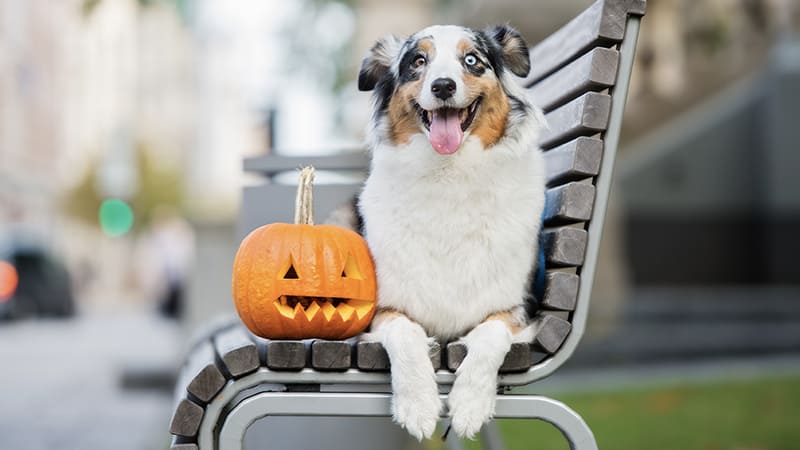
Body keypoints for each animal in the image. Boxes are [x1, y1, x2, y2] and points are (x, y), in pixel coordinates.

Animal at [360, 23, 548, 440]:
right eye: (418, 61)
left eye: (472, 60)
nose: (443, 86)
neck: (450, 175)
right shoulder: (383, 310)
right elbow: (406, 335)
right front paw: (417, 405)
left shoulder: (515, 308)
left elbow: (490, 338)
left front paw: (470, 404)